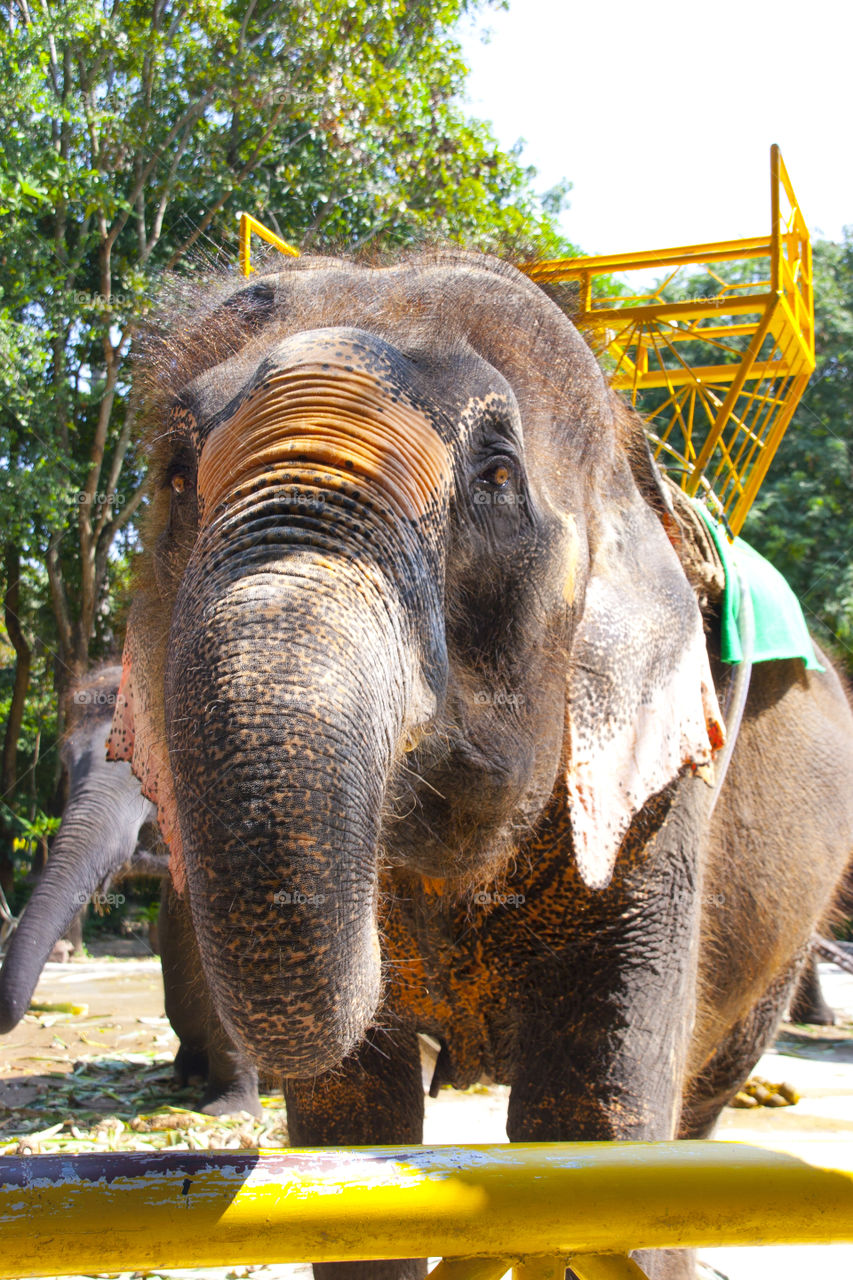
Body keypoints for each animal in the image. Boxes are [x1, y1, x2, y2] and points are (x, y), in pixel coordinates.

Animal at [106, 252, 850, 1280]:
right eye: (176, 475)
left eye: (497, 476)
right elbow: (351, 1133)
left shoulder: (667, 776)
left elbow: (589, 1125)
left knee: (703, 1090)